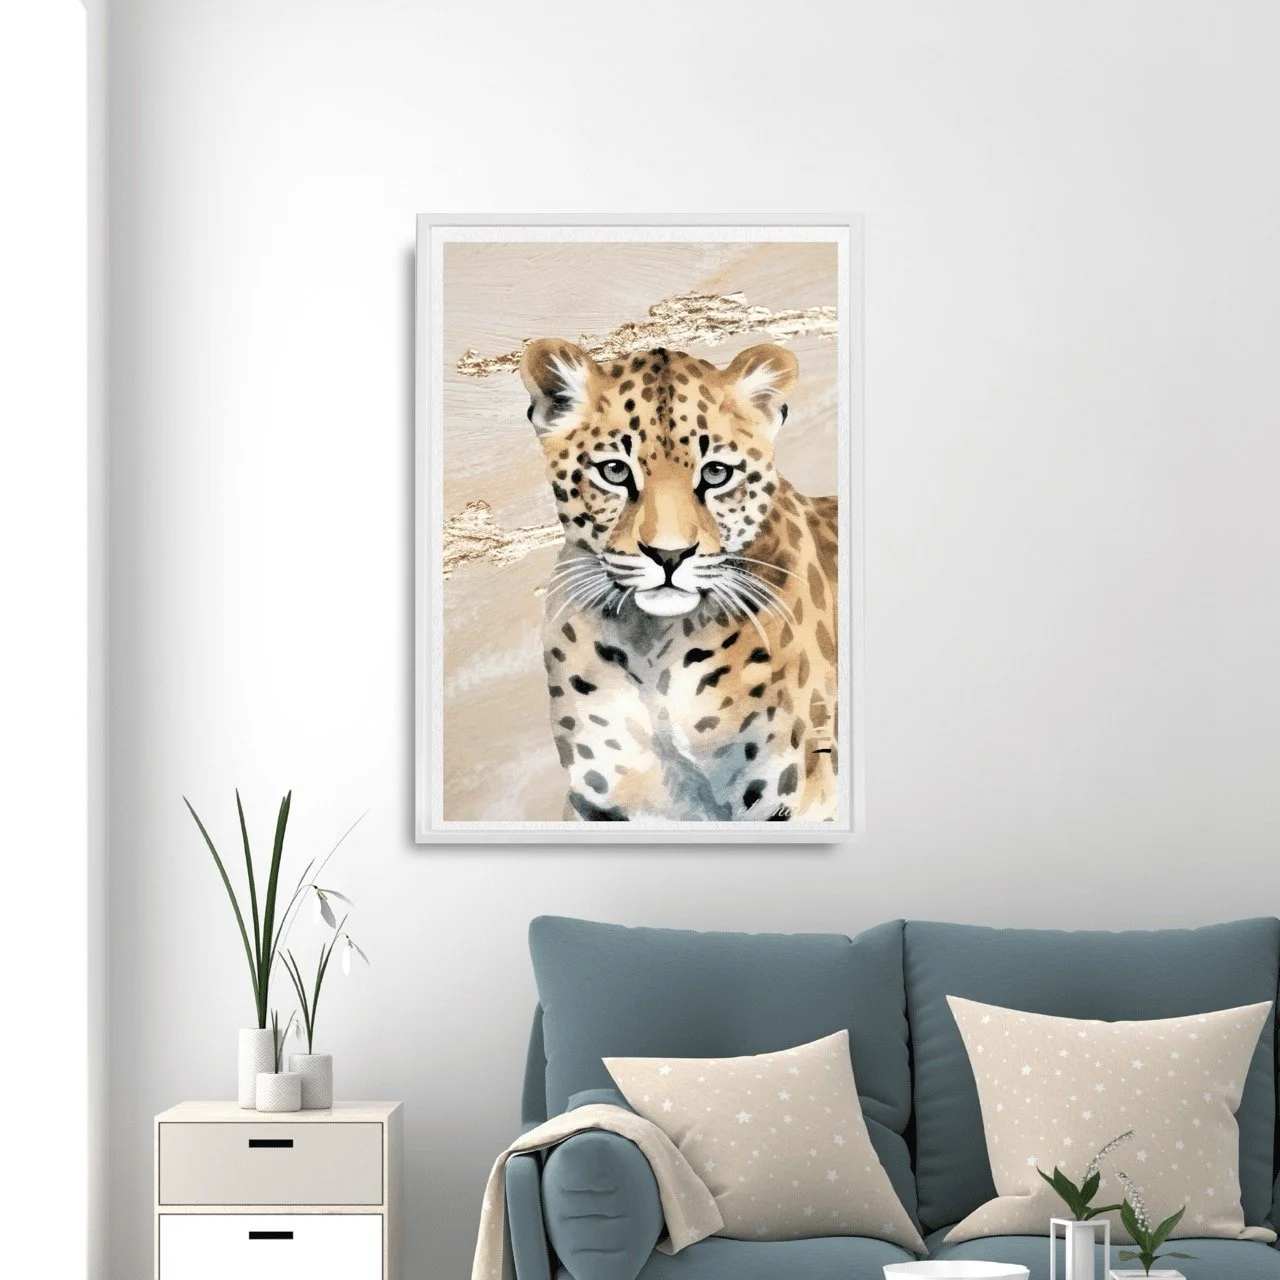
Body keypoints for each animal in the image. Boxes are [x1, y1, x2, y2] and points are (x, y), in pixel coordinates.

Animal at [519, 338, 839, 823]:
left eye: (716, 473)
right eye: (614, 471)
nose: (669, 555)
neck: (650, 649)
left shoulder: (795, 797)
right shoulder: (601, 803)